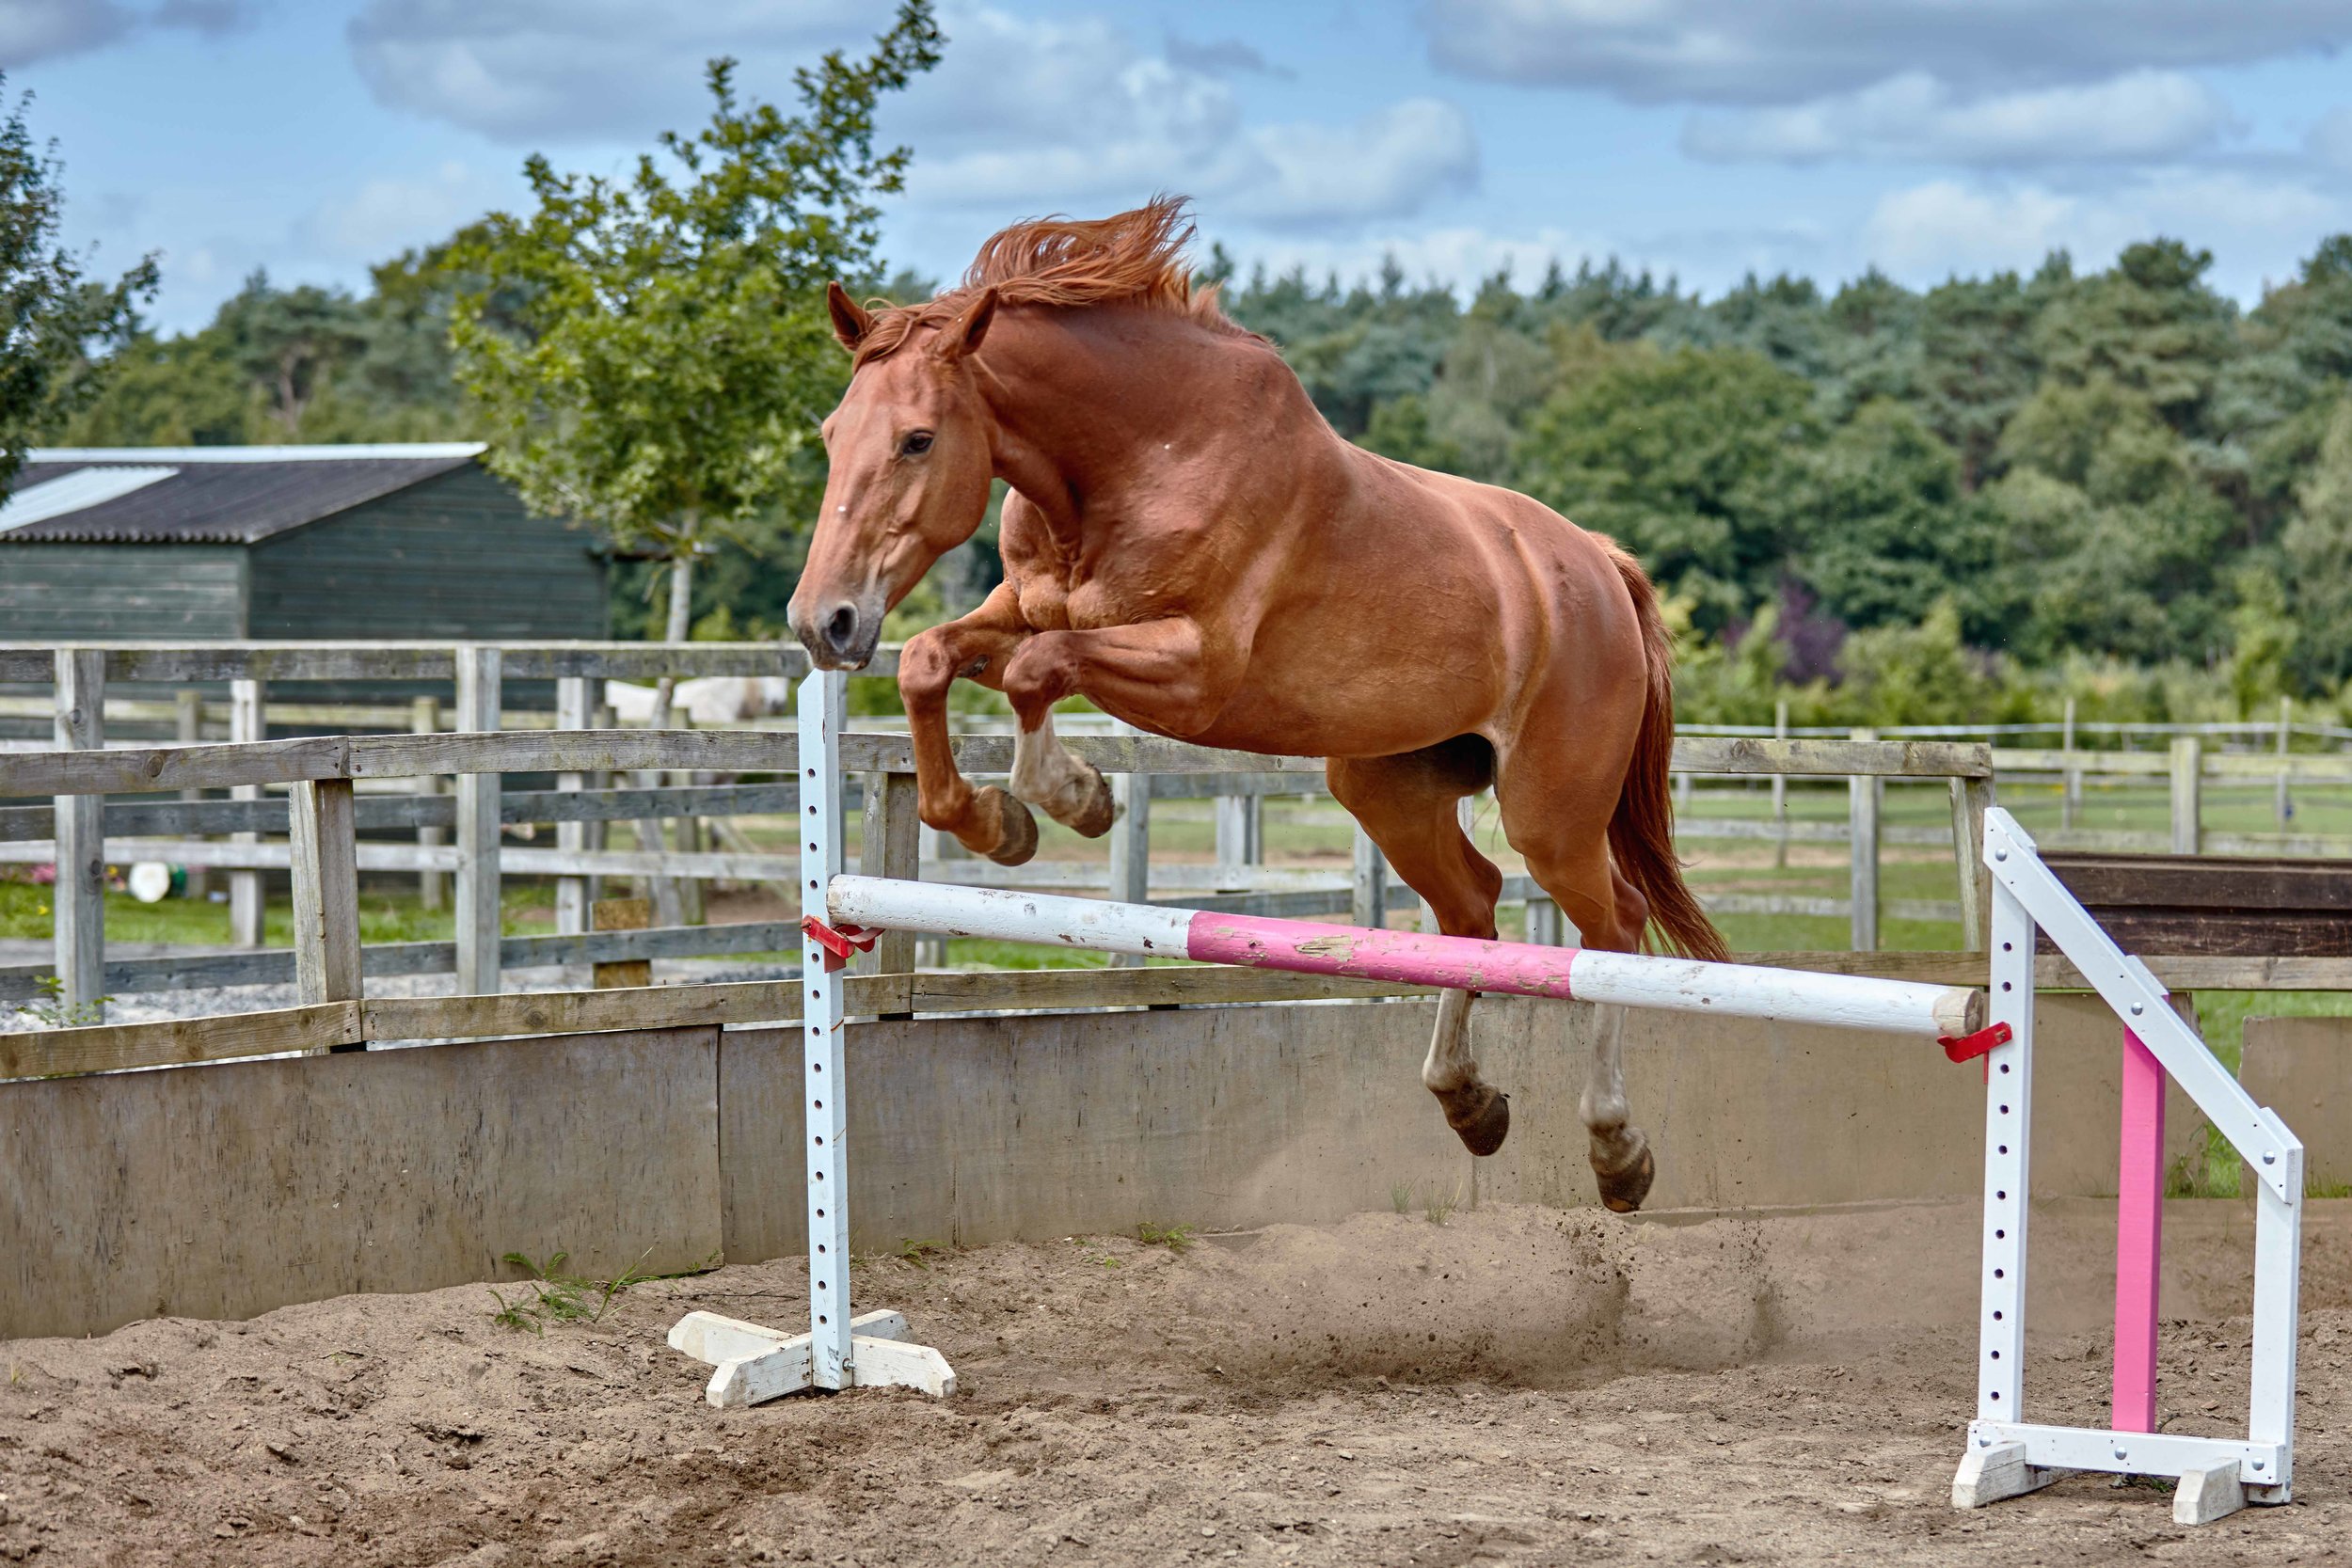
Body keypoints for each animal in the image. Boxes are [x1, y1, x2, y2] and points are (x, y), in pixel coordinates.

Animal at [790, 199, 1731, 1212]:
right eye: (830, 433)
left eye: (919, 438)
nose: (823, 621)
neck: (1138, 457)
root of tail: (1598, 563)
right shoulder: (1020, 611)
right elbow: (934, 662)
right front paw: (995, 822)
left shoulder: (1197, 672)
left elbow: (1037, 672)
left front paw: (1076, 797)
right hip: (1387, 787)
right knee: (1472, 912)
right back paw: (1470, 1103)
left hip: (1549, 815)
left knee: (1612, 929)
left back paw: (1616, 1149)